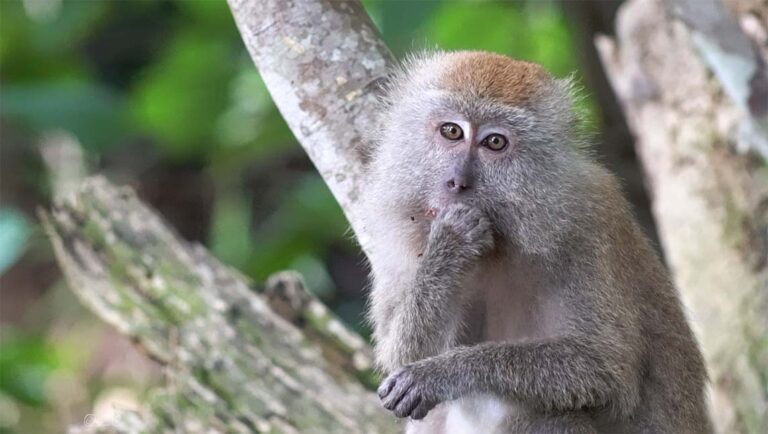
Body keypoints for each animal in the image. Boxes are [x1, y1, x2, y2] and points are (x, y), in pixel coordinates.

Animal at [360, 51, 712, 434]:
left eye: (494, 142)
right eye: (451, 131)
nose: (457, 183)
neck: (505, 240)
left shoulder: (587, 224)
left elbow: (606, 366)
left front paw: (442, 373)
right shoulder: (401, 241)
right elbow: (399, 351)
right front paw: (451, 244)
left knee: (556, 415)